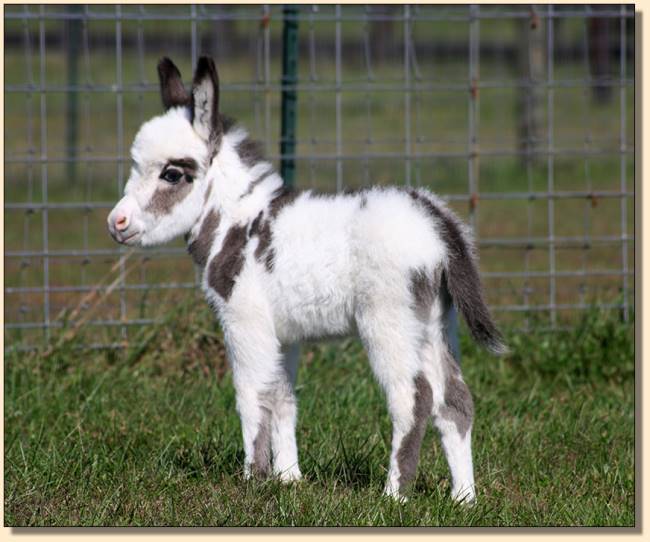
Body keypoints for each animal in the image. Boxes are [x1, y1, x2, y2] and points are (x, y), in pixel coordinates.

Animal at [106, 56, 504, 506]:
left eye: (172, 174)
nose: (116, 223)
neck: (237, 222)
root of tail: (438, 219)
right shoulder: (283, 335)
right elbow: (282, 398)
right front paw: (289, 479)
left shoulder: (244, 321)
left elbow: (251, 395)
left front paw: (253, 478)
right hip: (436, 322)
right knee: (455, 401)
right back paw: (464, 498)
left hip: (389, 322)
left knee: (412, 401)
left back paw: (394, 496)